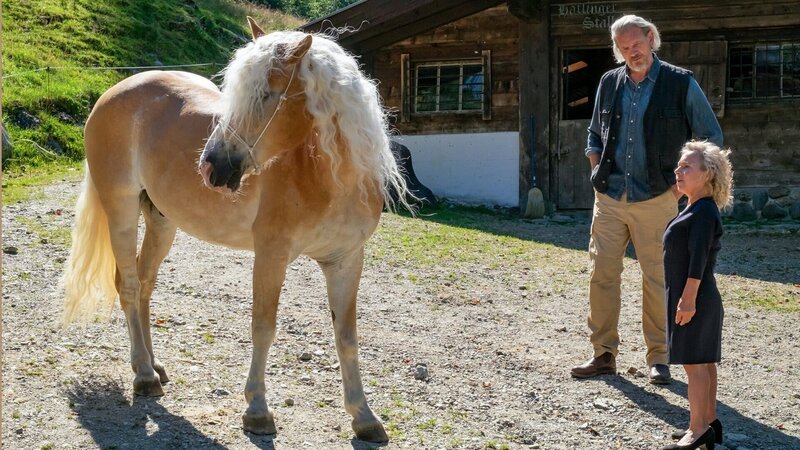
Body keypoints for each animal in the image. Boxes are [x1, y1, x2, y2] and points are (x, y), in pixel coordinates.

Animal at [61, 18, 410, 443]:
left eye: (268, 94)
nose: (211, 167)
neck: (328, 176)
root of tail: (113, 92)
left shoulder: (346, 260)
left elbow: (346, 337)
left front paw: (364, 416)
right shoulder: (271, 255)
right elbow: (263, 327)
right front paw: (257, 410)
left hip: (161, 221)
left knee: (143, 285)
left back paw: (152, 366)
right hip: (121, 209)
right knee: (127, 285)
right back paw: (144, 376)